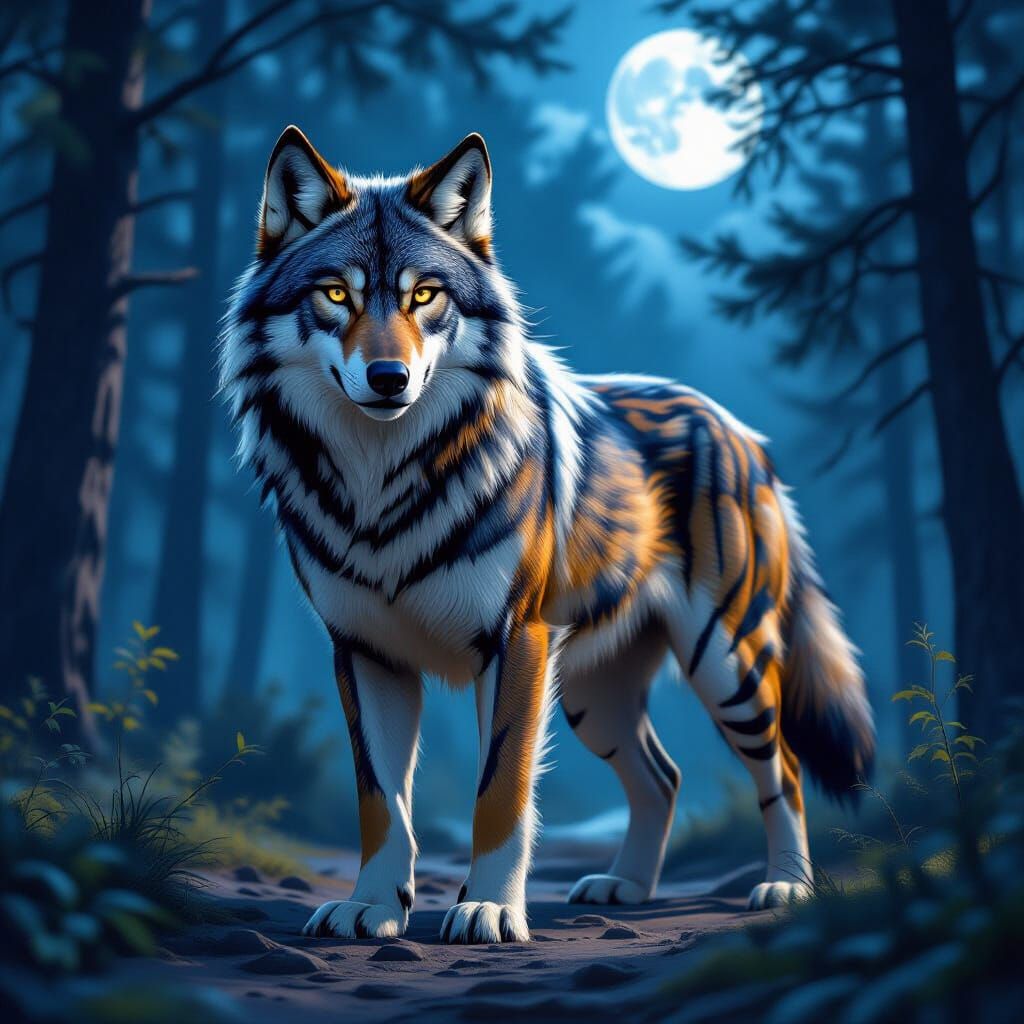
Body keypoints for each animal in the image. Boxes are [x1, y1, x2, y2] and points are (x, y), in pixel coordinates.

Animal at [219, 127, 875, 945]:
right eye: (336, 294)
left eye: (424, 296)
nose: (389, 377)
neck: (383, 485)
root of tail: (742, 432)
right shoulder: (365, 654)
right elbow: (382, 802)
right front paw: (371, 906)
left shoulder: (515, 642)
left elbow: (500, 791)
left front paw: (490, 909)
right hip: (596, 698)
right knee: (664, 777)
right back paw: (627, 886)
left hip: (727, 666)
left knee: (782, 770)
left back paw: (786, 887)